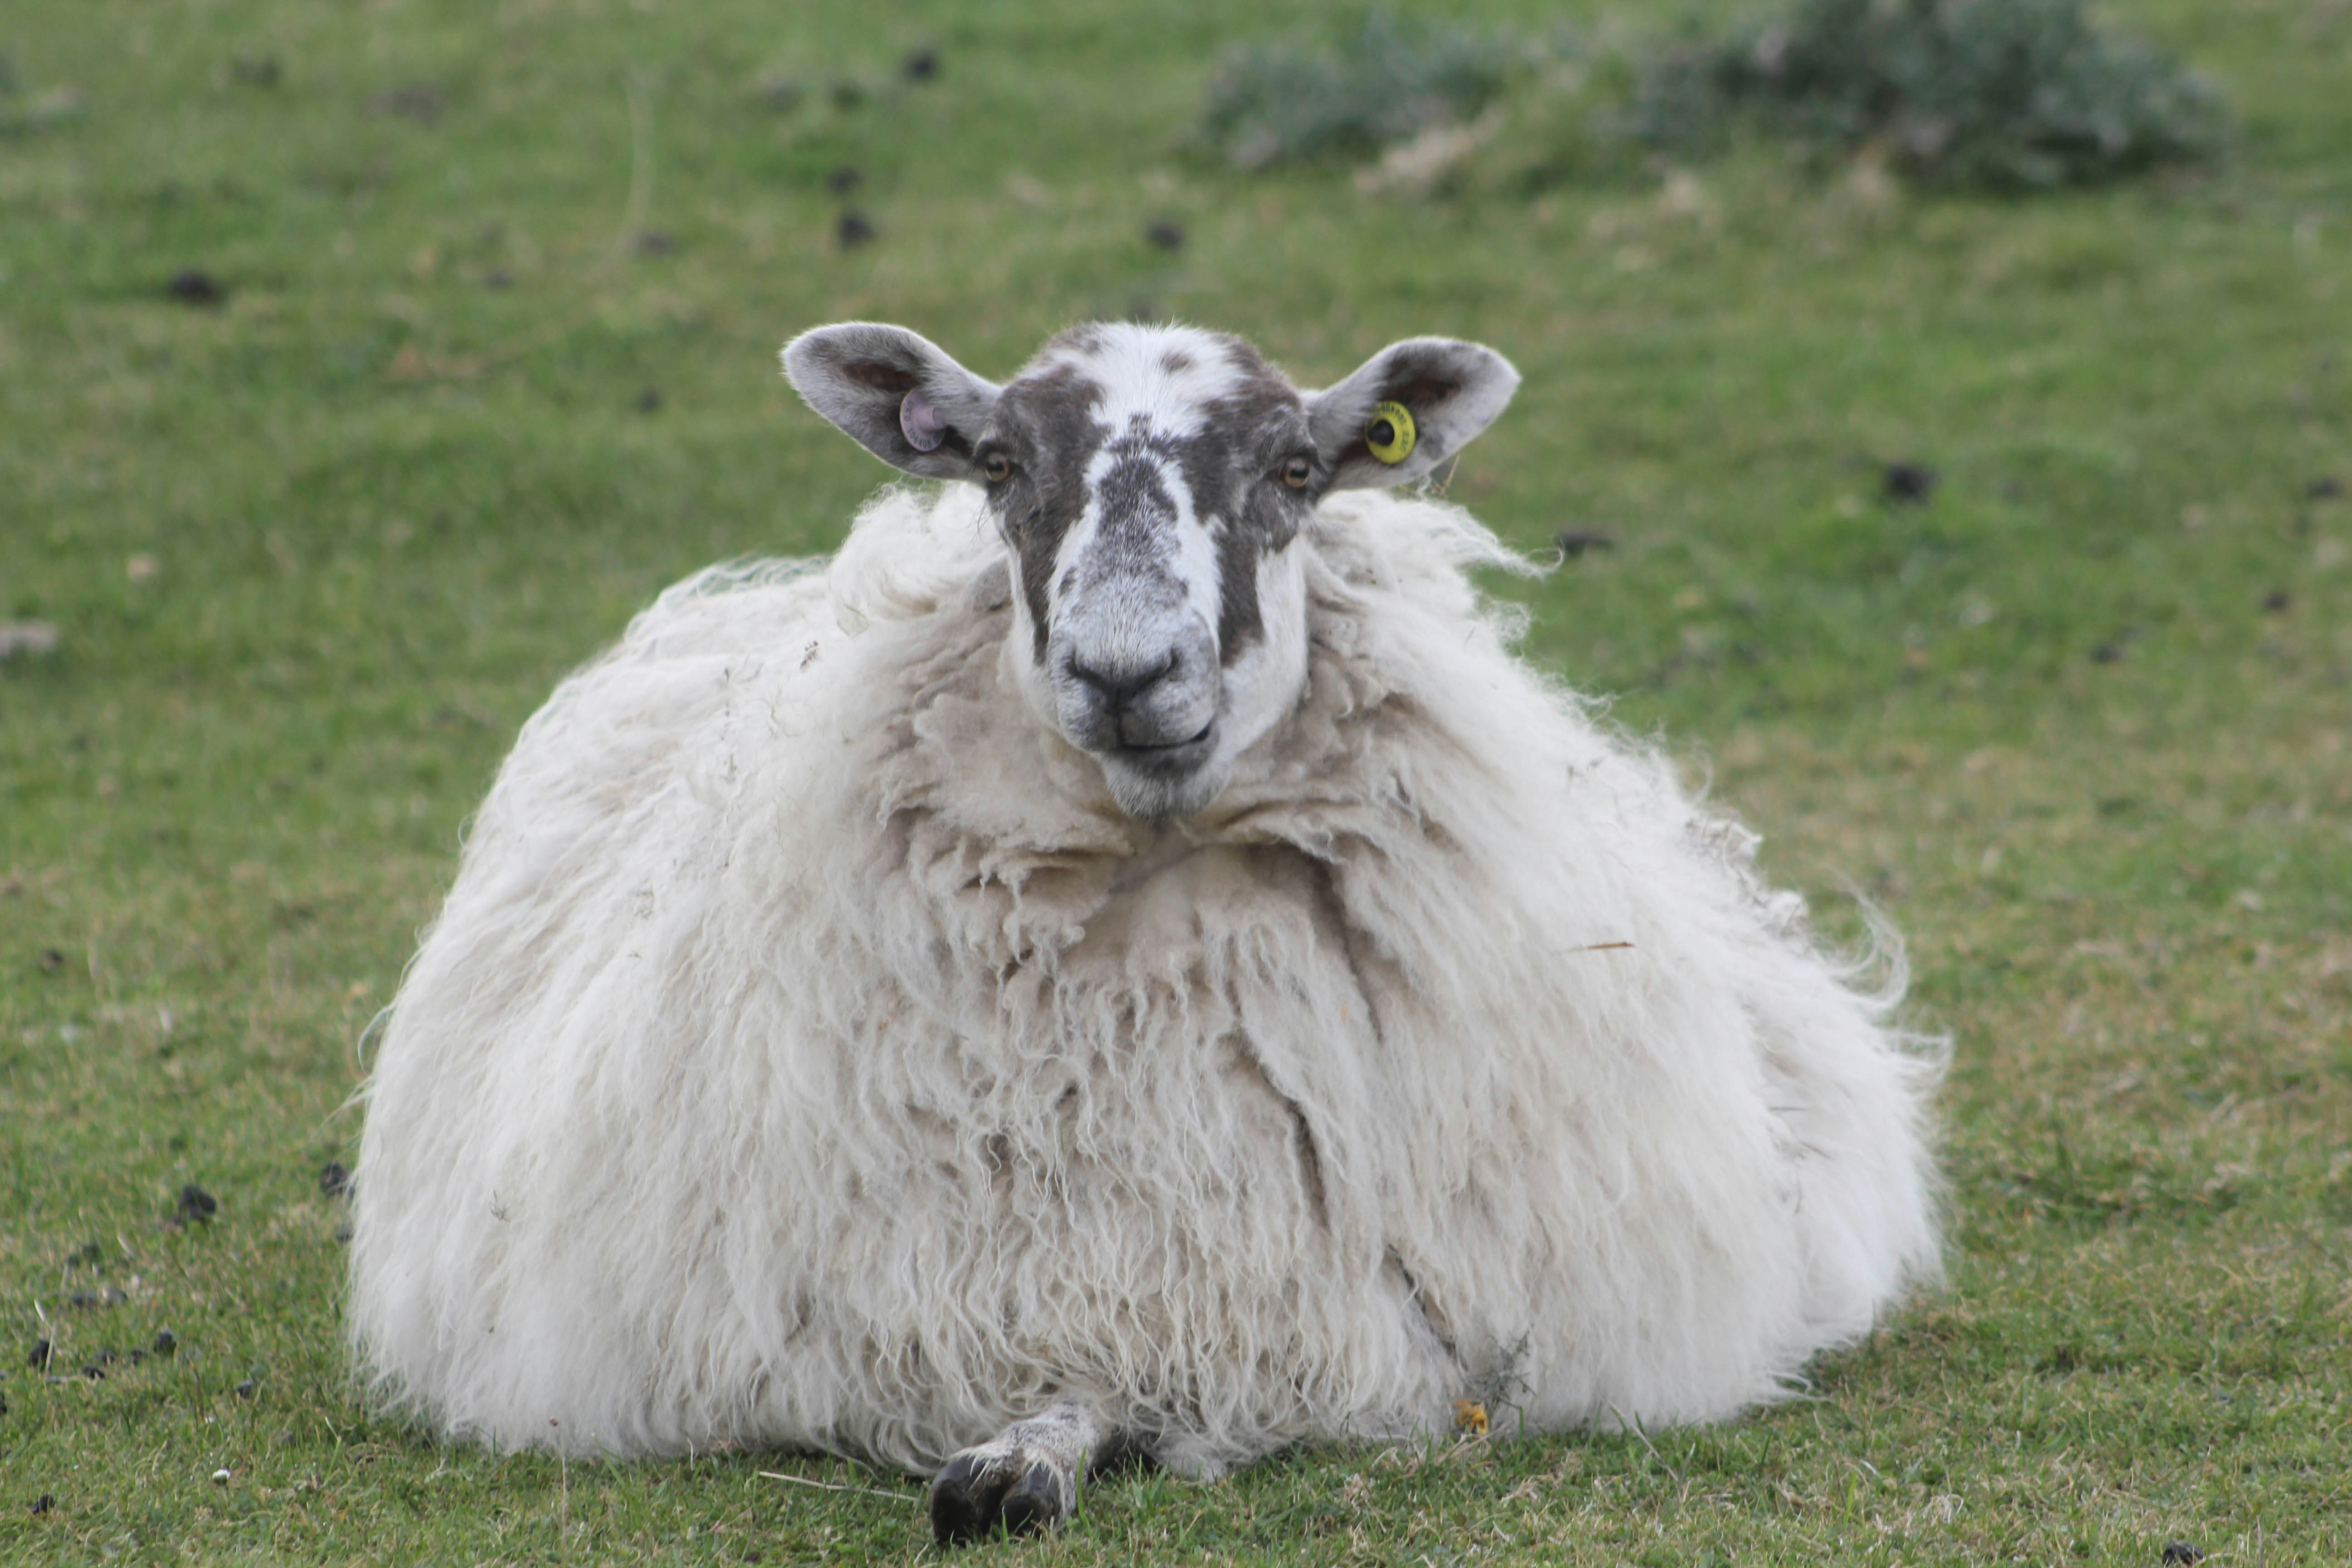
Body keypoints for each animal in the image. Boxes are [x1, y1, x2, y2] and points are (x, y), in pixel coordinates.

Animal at [348, 320, 1941, 1546]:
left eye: (1296, 469)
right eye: (1000, 465)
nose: (1128, 673)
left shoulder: (1366, 1327)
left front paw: (1027, 1461)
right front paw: (1010, 1464)